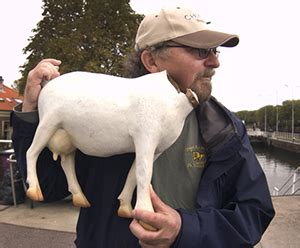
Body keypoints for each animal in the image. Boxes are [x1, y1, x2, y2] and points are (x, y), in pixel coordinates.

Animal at [25, 70, 198, 228]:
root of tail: (48, 84)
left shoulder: (157, 149)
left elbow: (133, 173)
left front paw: (126, 208)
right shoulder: (146, 136)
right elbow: (144, 173)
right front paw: (146, 215)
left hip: (68, 136)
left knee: (66, 162)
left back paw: (80, 198)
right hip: (48, 122)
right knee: (31, 152)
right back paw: (34, 190)